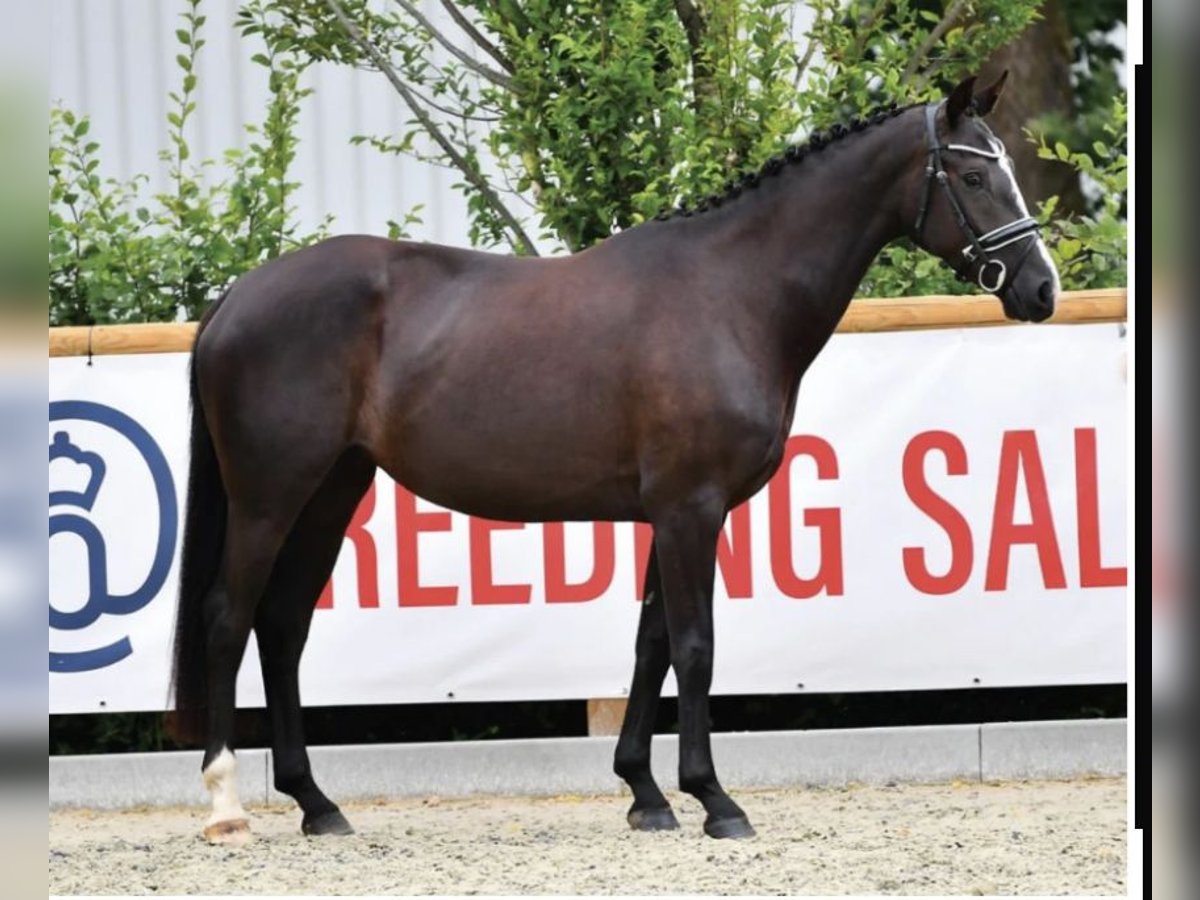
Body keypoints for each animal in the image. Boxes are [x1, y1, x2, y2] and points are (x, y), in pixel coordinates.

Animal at [169, 75, 1060, 844]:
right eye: (975, 177)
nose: (1043, 289)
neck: (730, 293)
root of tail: (236, 298)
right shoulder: (692, 509)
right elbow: (696, 645)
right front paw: (714, 800)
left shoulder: (670, 511)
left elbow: (651, 644)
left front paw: (644, 792)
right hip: (269, 497)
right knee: (229, 617)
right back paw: (227, 804)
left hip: (331, 489)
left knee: (283, 625)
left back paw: (317, 803)